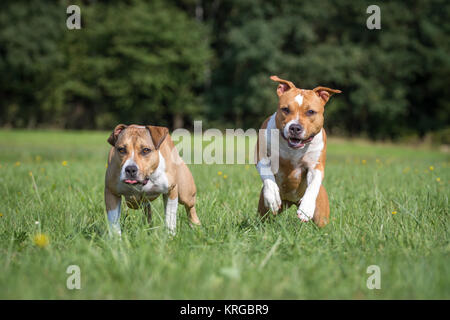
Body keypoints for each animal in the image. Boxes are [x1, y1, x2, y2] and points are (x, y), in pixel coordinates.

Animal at [256, 75, 342, 228]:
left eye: (311, 112)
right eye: (285, 109)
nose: (295, 127)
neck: (294, 149)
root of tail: (290, 201)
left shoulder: (316, 167)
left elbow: (313, 185)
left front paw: (306, 208)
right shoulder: (261, 157)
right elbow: (267, 174)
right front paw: (272, 196)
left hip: (321, 217)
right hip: (264, 212)